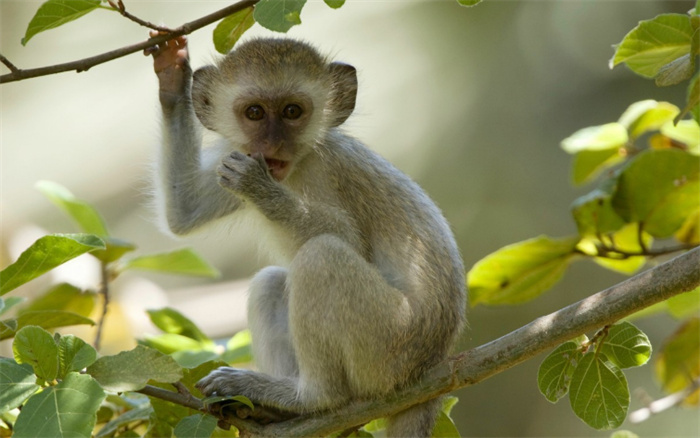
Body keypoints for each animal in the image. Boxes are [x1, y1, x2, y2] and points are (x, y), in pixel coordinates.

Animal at [148, 35, 464, 438]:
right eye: (255, 113)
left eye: (292, 111)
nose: (272, 146)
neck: (296, 165)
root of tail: (431, 365)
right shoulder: (234, 154)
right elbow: (185, 211)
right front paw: (172, 77)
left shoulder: (328, 168)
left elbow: (348, 238)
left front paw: (260, 189)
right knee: (271, 281)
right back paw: (271, 410)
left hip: (389, 347)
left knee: (321, 256)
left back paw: (310, 398)